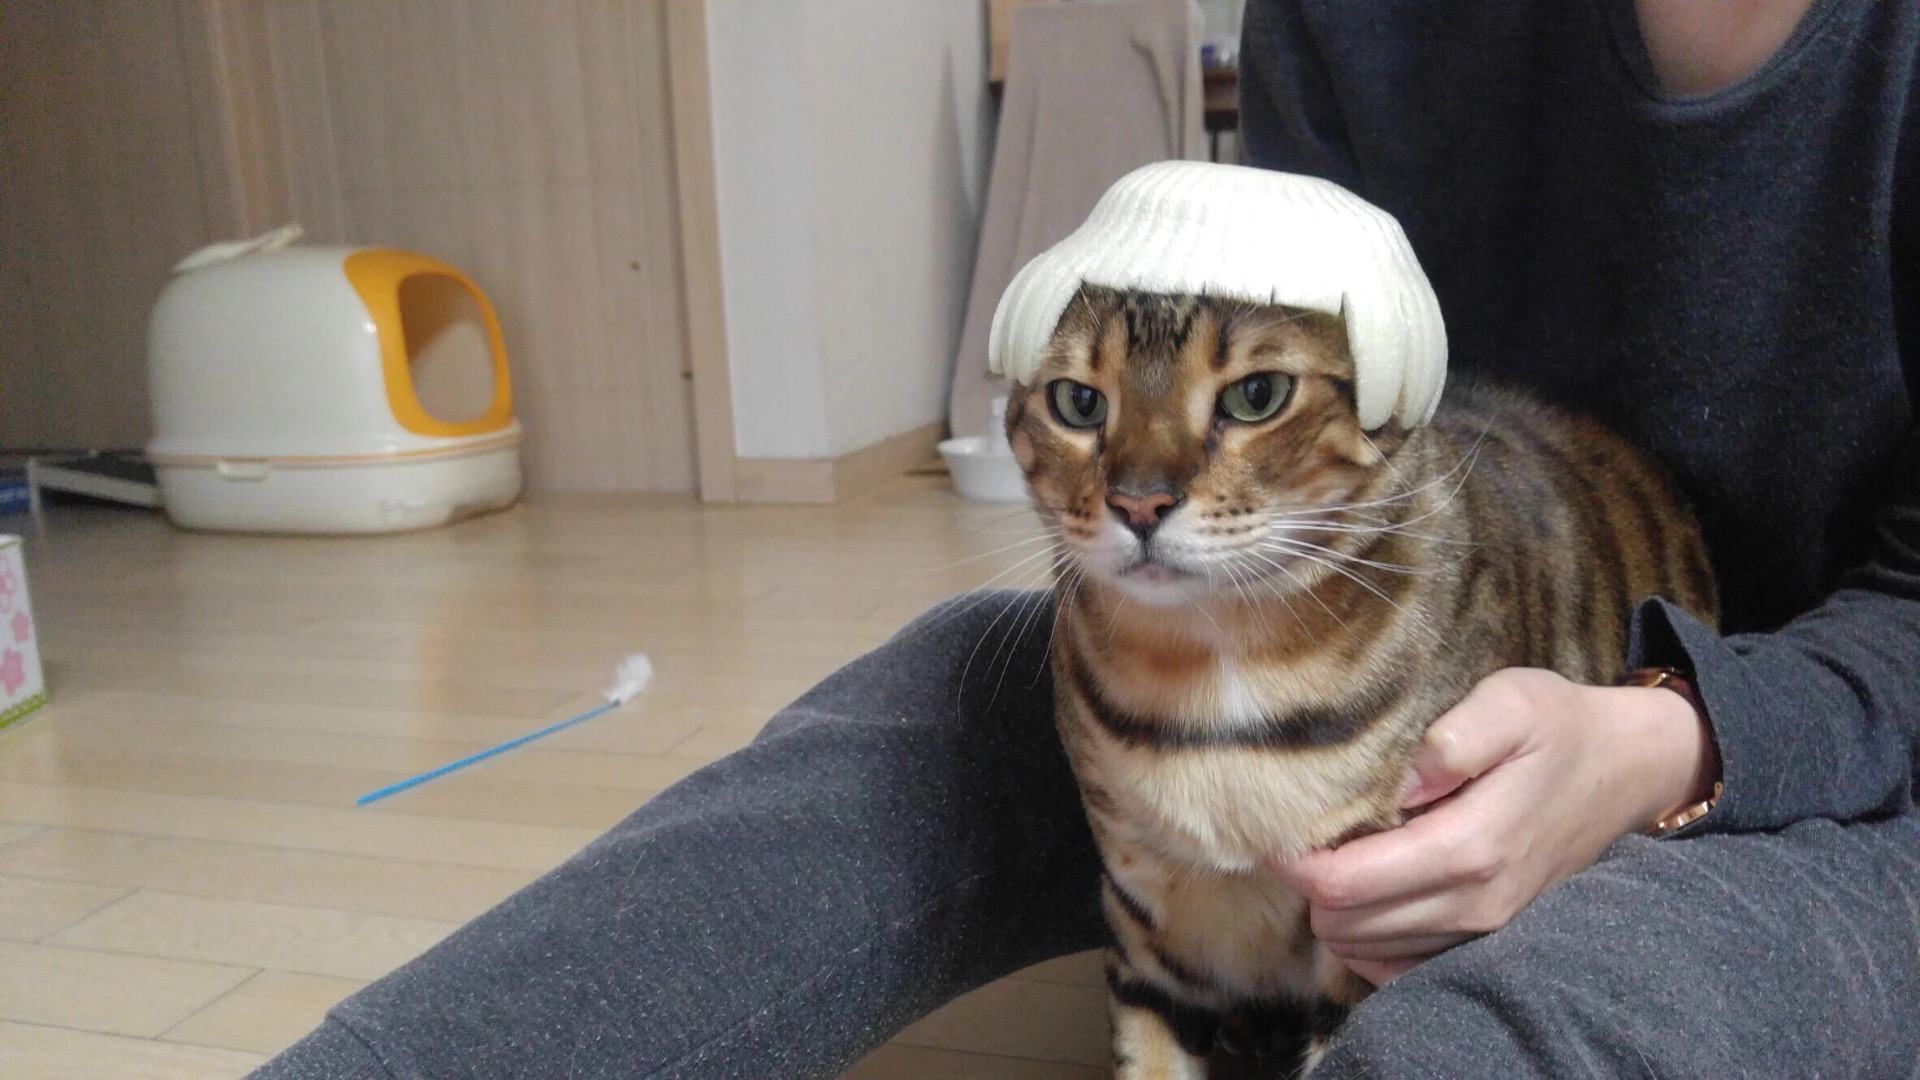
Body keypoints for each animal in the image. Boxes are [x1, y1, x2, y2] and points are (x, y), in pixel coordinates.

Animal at [1003, 284, 1719, 1079]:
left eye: (1257, 395)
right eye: (1077, 402)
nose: (1138, 502)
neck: (1210, 683)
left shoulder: (1375, 941)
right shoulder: (1147, 939)